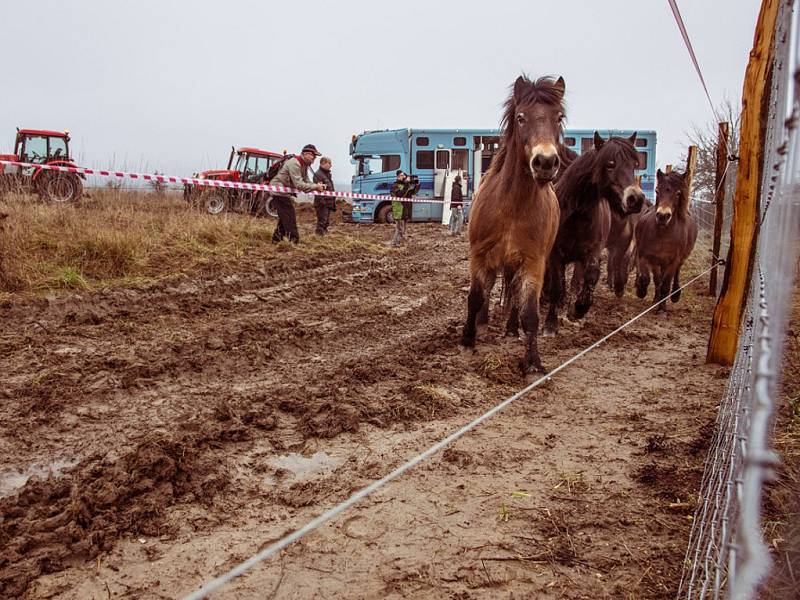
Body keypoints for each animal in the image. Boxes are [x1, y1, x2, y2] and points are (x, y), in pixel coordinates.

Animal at [460, 76, 564, 376]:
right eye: (521, 117)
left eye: (559, 117)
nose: (545, 162)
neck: (512, 207)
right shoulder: (480, 254)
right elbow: (475, 296)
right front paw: (468, 340)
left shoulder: (533, 262)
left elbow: (529, 312)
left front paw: (533, 363)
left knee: (517, 298)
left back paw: (510, 330)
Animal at [540, 133, 648, 336]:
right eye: (610, 164)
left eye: (635, 164)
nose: (635, 199)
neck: (576, 215)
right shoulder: (555, 255)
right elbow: (556, 287)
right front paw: (550, 325)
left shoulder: (592, 252)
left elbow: (590, 277)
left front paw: (577, 309)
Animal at [636, 168, 696, 312]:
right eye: (657, 190)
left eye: (678, 193)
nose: (663, 216)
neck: (663, 235)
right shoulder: (649, 257)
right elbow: (651, 279)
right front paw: (642, 292)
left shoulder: (673, 261)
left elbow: (665, 284)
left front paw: (662, 309)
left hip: (680, 259)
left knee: (676, 275)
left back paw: (675, 295)